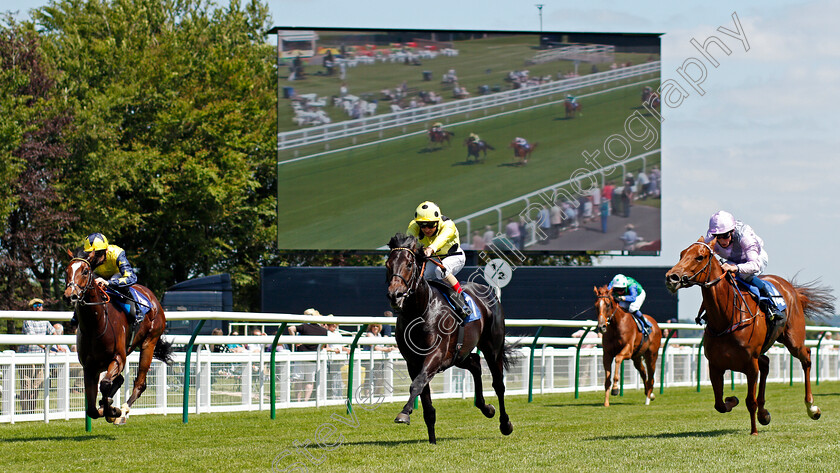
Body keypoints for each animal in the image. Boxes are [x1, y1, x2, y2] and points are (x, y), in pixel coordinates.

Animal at [64, 253, 174, 422]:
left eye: (85, 271)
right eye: (66, 271)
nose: (71, 295)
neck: (97, 325)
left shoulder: (118, 358)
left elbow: (105, 384)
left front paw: (113, 411)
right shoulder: (89, 367)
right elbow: (92, 410)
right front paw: (105, 407)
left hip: (149, 342)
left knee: (140, 383)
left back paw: (123, 409)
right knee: (120, 380)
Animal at [386, 232, 516, 442]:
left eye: (409, 264)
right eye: (388, 265)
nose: (395, 295)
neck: (420, 311)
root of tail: (489, 293)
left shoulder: (435, 355)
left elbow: (417, 384)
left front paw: (404, 413)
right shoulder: (413, 361)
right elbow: (425, 399)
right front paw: (432, 441)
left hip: (492, 348)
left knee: (498, 384)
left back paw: (505, 424)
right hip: (459, 354)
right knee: (474, 363)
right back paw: (486, 408)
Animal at [668, 238, 836, 434]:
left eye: (699, 257)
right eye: (681, 254)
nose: (671, 277)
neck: (726, 318)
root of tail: (792, 289)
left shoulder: (750, 364)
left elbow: (750, 400)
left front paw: (754, 431)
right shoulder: (715, 365)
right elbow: (719, 404)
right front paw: (732, 400)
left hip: (794, 340)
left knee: (806, 357)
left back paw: (811, 407)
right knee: (766, 363)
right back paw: (764, 414)